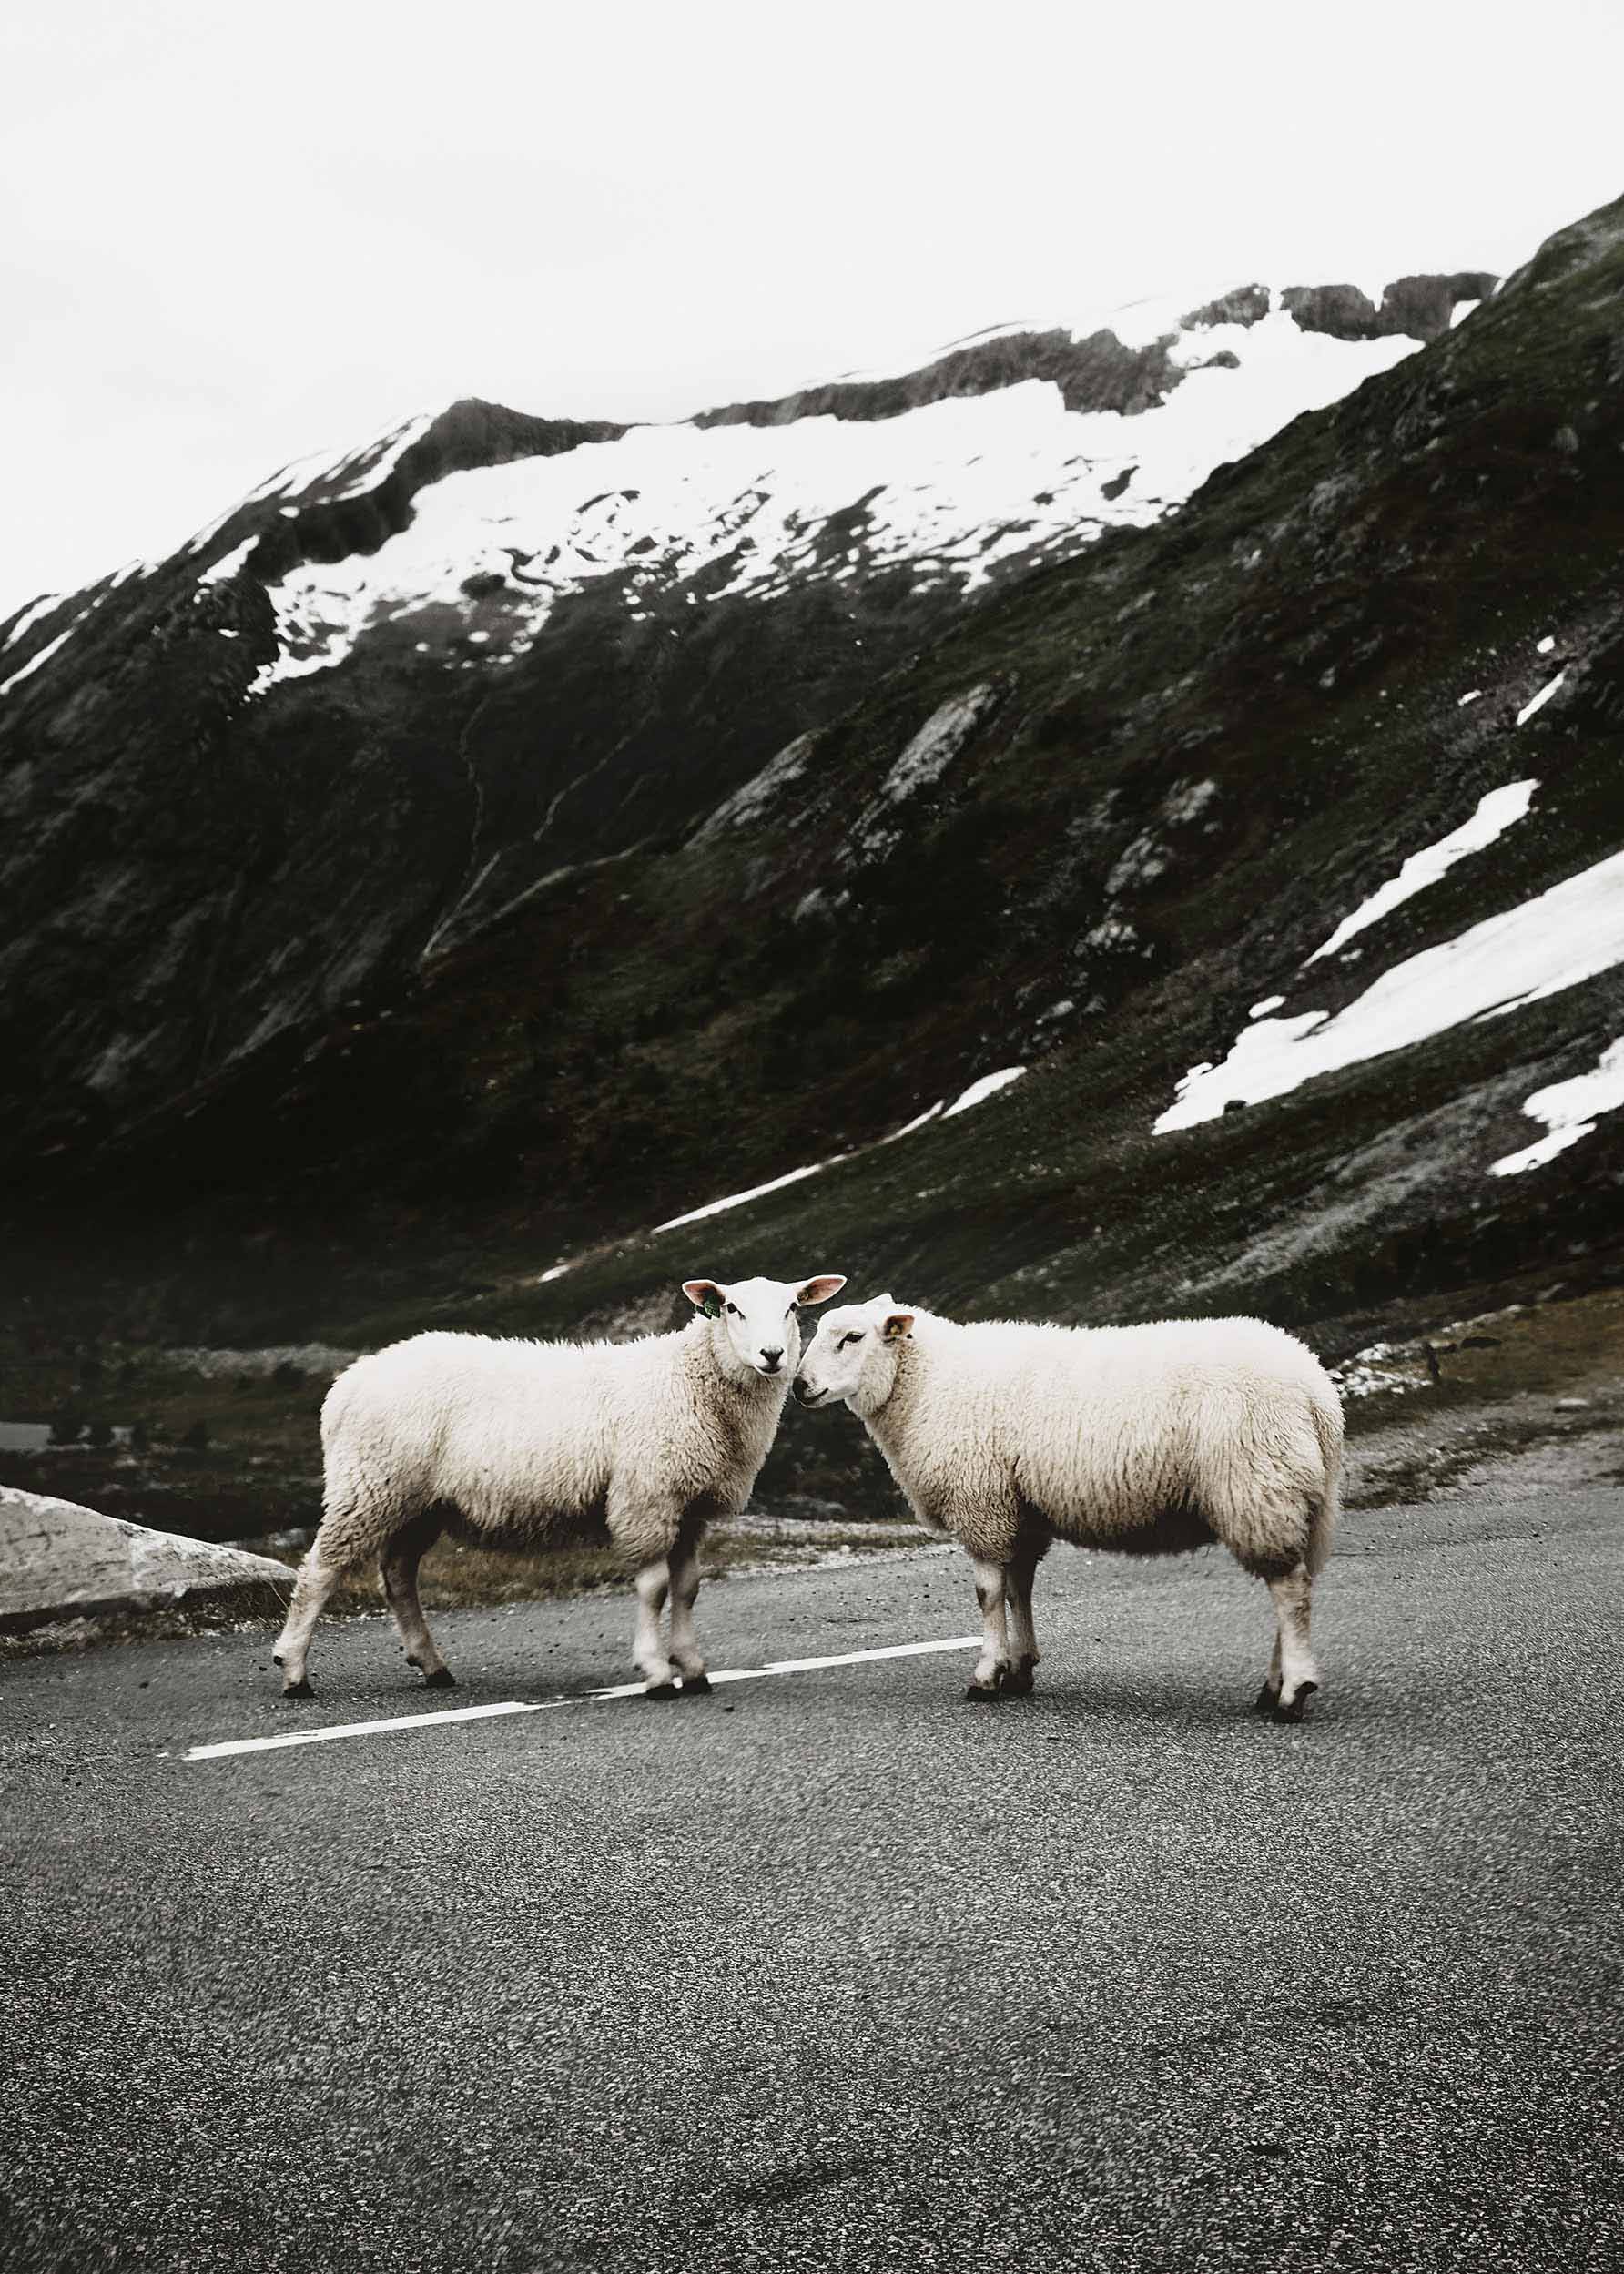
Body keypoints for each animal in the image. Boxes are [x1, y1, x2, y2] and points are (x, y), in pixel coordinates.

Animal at [271, 1272, 846, 1700]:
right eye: (731, 1308)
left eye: (792, 1307)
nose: (772, 1355)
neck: (691, 1380)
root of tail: (350, 1380)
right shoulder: (645, 1498)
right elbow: (655, 1588)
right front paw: (657, 1672)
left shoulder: (688, 1508)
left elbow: (687, 1588)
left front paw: (693, 1667)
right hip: (370, 1484)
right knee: (320, 1571)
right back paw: (294, 1669)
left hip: (419, 1501)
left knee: (397, 1574)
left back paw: (431, 1664)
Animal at [793, 1296, 1341, 1721]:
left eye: (852, 1338)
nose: (799, 1386)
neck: (928, 1384)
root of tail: (1316, 1390)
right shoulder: (1019, 1511)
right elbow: (1019, 1589)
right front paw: (1020, 1668)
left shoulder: (981, 1503)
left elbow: (988, 1595)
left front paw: (987, 1675)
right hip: (1293, 1499)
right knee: (1293, 1585)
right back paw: (1273, 1688)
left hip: (1256, 1487)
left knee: (1289, 1592)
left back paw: (1292, 1693)